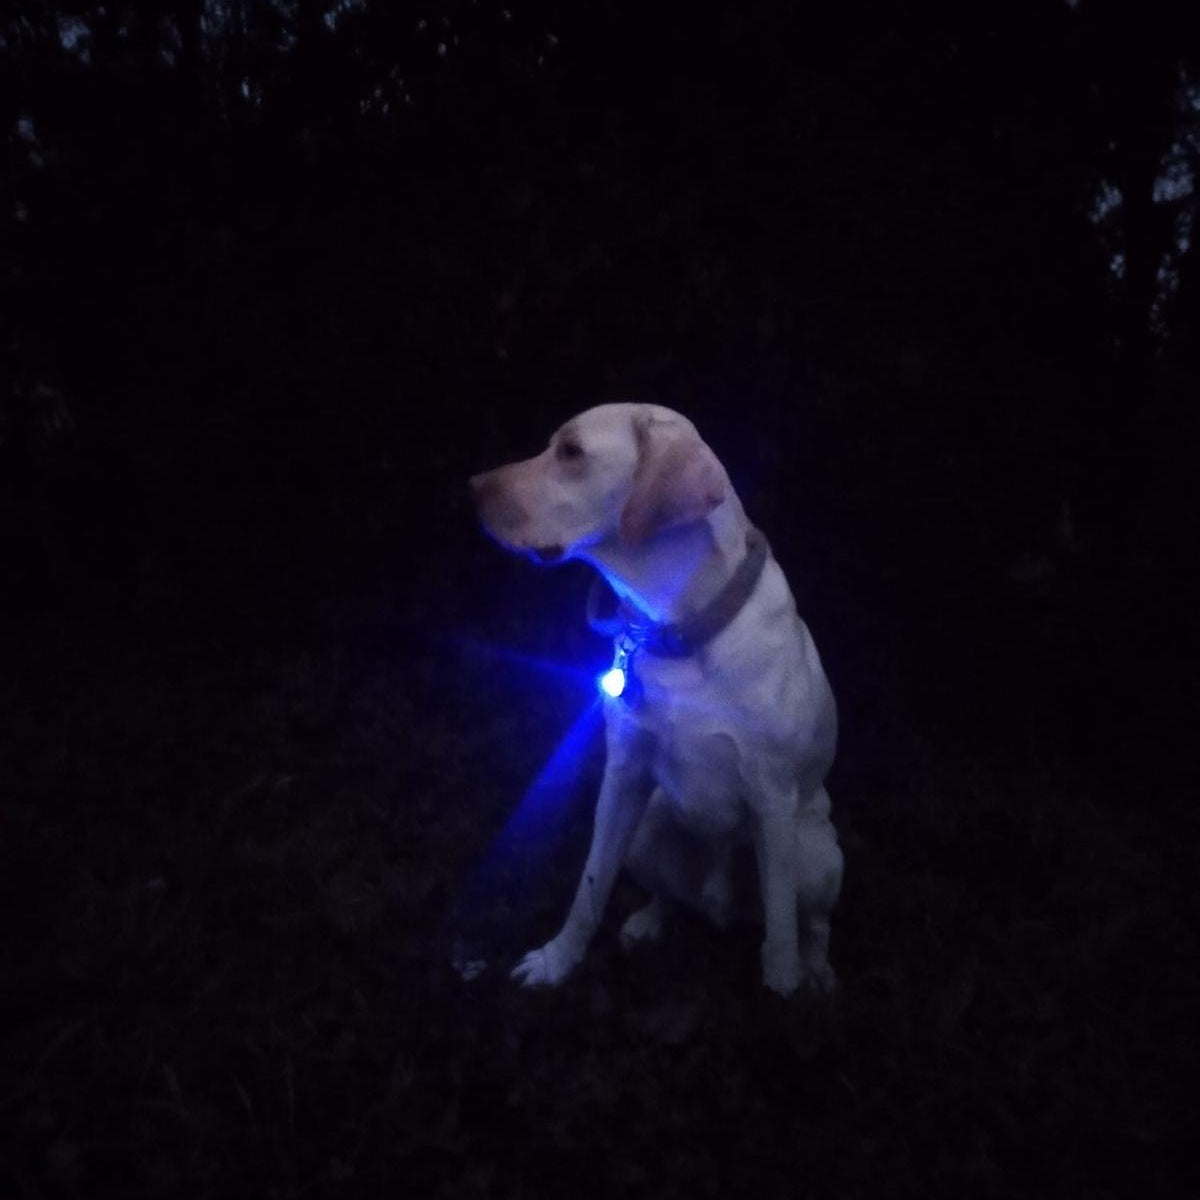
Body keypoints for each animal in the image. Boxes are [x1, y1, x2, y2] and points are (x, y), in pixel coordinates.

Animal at [470, 403, 842, 996]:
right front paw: (556, 962)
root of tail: (721, 906)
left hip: (816, 855)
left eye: (570, 452)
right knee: (669, 896)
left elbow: (781, 932)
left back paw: (817, 970)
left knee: (812, 921)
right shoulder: (623, 774)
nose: (472, 488)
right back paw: (648, 922)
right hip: (649, 826)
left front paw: (785, 993)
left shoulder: (773, 800)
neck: (676, 628)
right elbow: (590, 889)